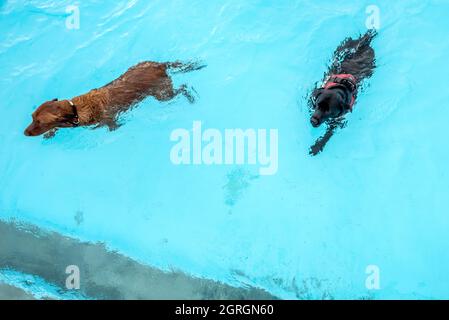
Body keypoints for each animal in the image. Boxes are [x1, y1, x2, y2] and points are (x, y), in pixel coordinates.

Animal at [24, 61, 203, 136]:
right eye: (32, 118)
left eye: (40, 122)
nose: (25, 133)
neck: (76, 109)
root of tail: (160, 64)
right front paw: (51, 132)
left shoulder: (109, 122)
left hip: (163, 94)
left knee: (182, 88)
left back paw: (190, 95)